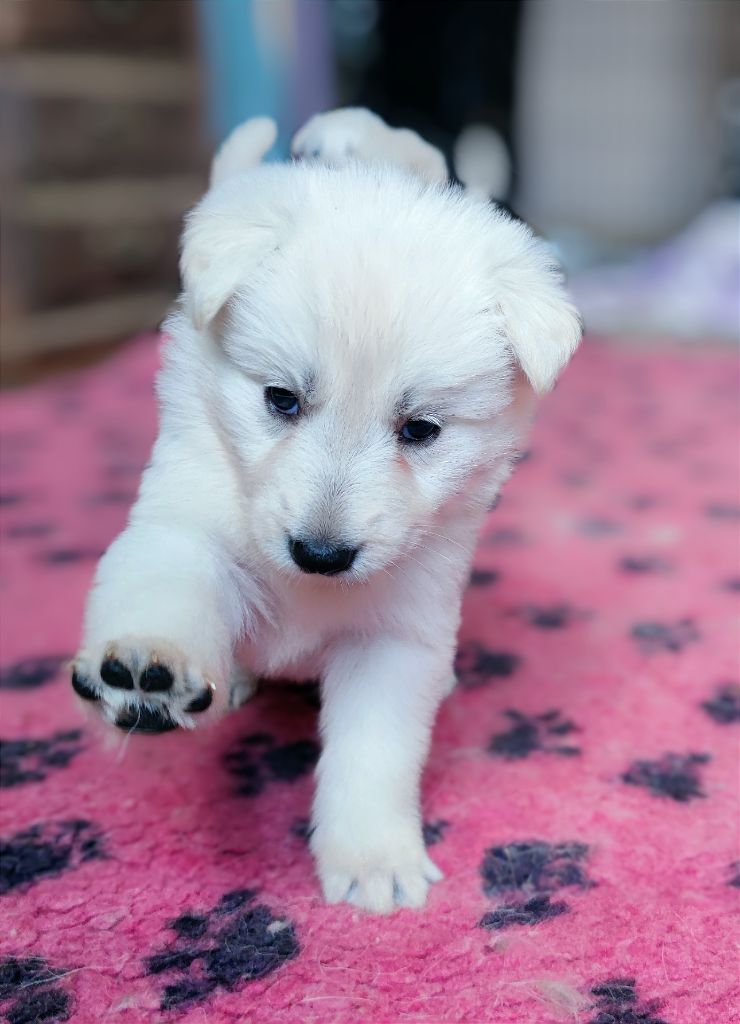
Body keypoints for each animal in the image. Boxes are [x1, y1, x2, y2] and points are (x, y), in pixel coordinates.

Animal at [72, 108, 582, 913]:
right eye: (281, 399)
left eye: (420, 430)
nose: (320, 554)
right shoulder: (184, 519)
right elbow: (168, 582)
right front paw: (147, 667)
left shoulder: (399, 631)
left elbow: (373, 751)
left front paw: (374, 861)